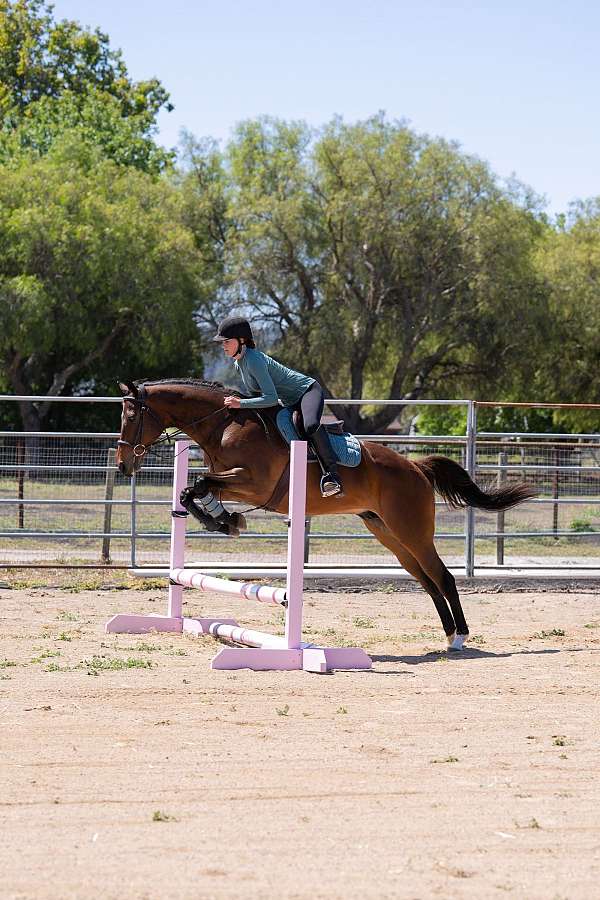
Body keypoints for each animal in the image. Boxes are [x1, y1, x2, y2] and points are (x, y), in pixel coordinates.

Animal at [116, 378, 535, 649]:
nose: (123, 465)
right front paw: (225, 520)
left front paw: (226, 520)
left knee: (442, 577)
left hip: (412, 531)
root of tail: (416, 466)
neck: (224, 424)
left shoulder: (254, 483)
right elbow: (192, 491)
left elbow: (199, 484)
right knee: (427, 581)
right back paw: (448, 634)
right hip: (388, 534)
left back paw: (460, 636)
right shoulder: (233, 481)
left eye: (130, 417)